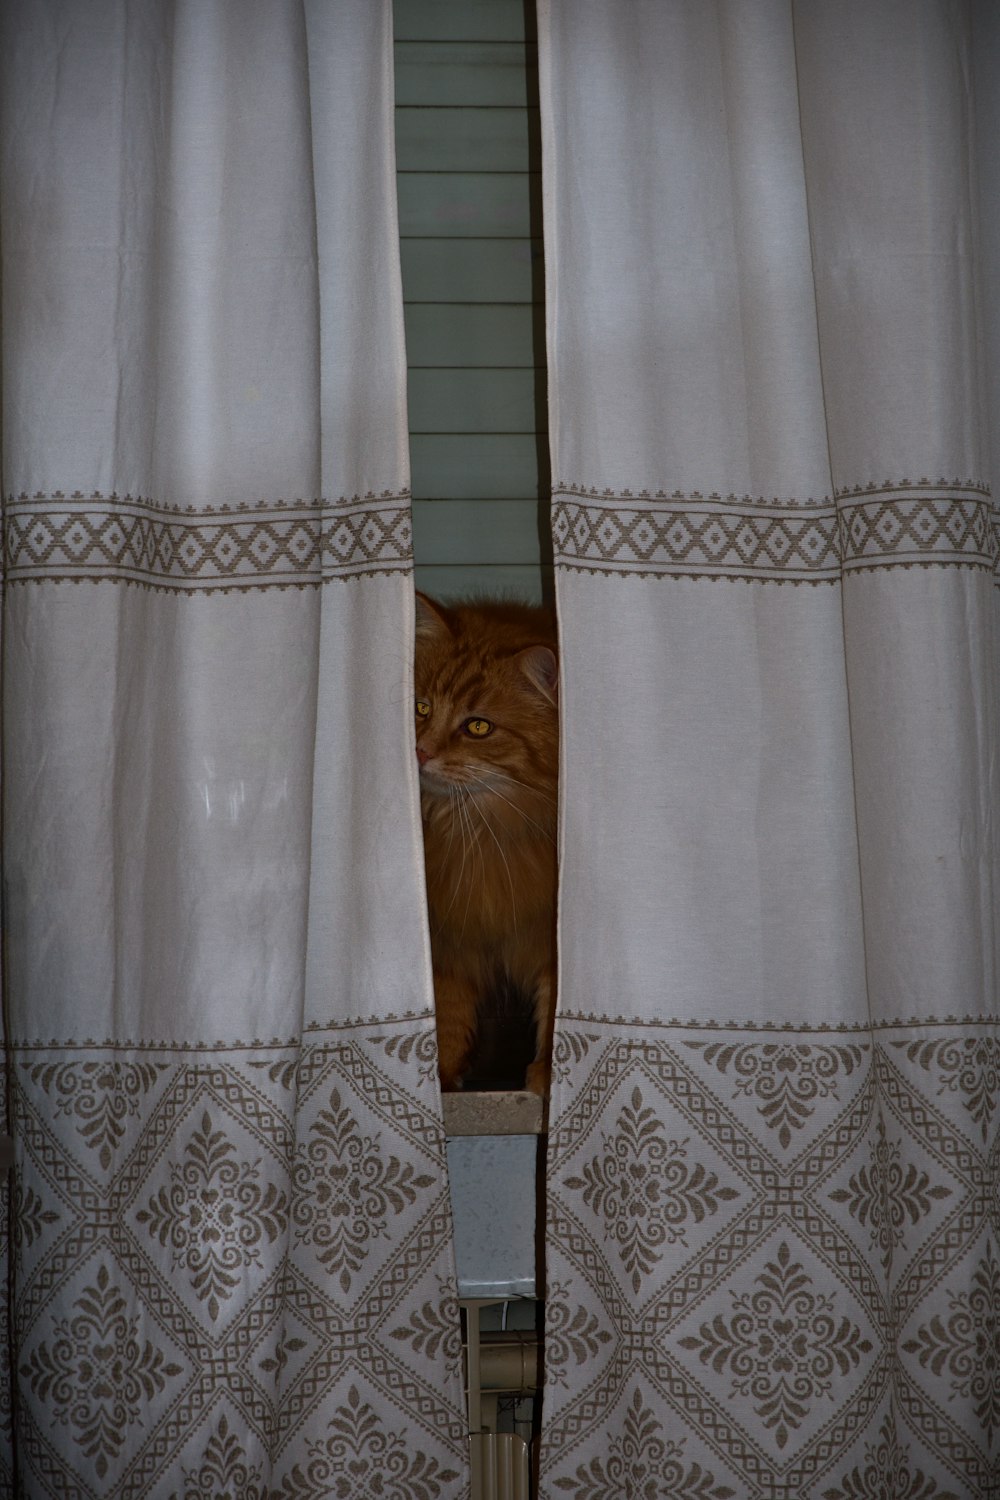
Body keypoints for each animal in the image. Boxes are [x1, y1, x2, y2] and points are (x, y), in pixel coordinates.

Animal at [410, 591, 560, 1098]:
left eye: (477, 727)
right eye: (420, 708)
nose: (420, 751)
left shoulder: (547, 936)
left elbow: (553, 1008)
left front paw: (548, 1076)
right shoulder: (447, 936)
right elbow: (449, 1012)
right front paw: (438, 1078)